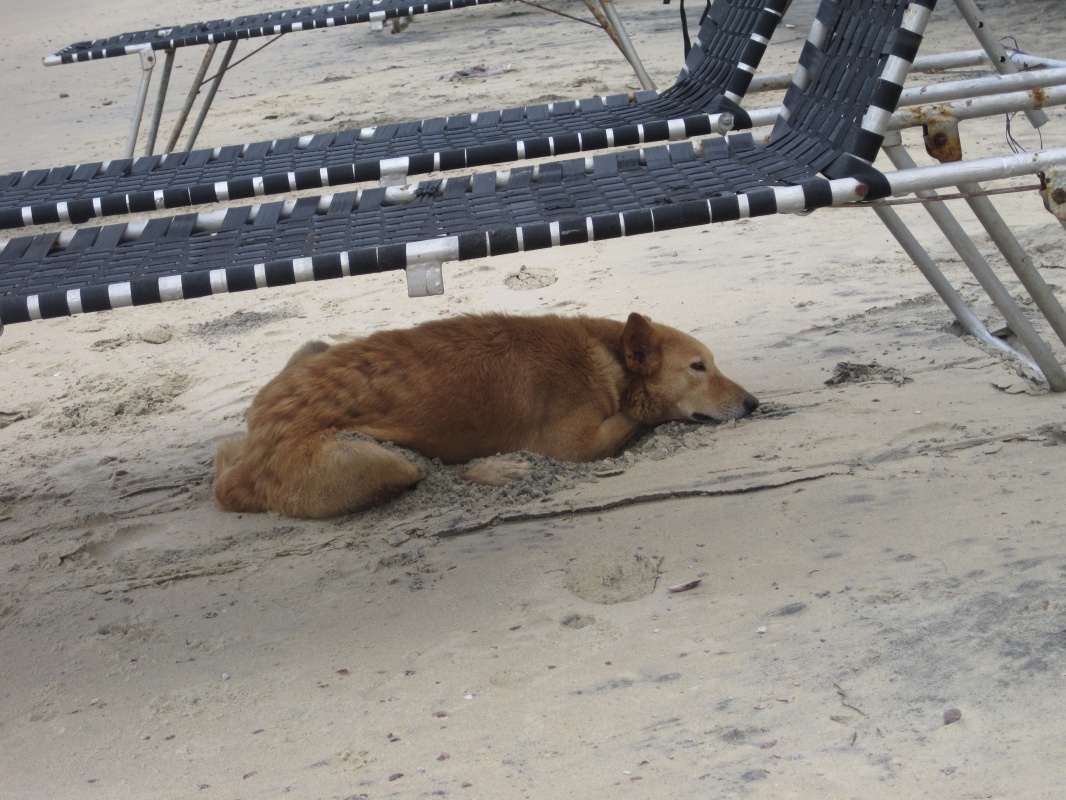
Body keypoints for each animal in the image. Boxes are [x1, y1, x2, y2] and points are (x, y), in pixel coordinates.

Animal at [213, 312, 758, 518]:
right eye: (698, 367)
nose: (754, 403)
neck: (607, 359)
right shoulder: (574, 442)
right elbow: (638, 418)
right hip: (378, 460)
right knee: (426, 472)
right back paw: (504, 469)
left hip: (311, 349)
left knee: (223, 449)